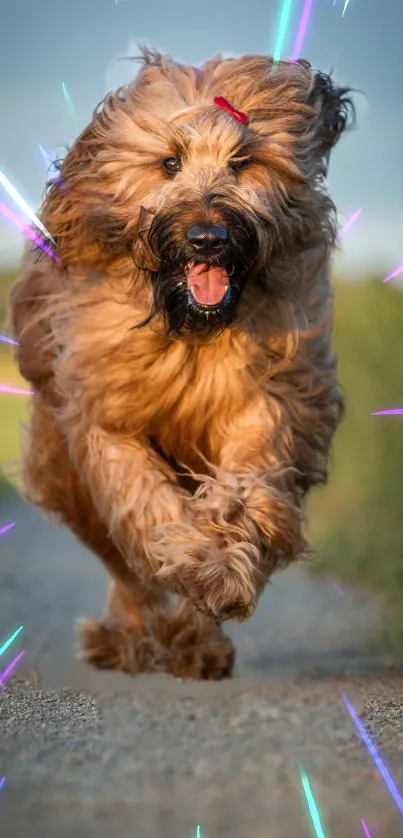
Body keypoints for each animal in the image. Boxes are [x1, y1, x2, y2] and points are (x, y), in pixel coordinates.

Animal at [6, 49, 354, 684]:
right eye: (169, 162)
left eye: (243, 162)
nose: (207, 238)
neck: (190, 330)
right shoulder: (105, 415)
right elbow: (143, 501)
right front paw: (194, 560)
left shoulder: (267, 395)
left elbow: (247, 482)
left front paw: (222, 567)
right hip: (63, 471)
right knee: (123, 564)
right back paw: (136, 637)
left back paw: (196, 641)